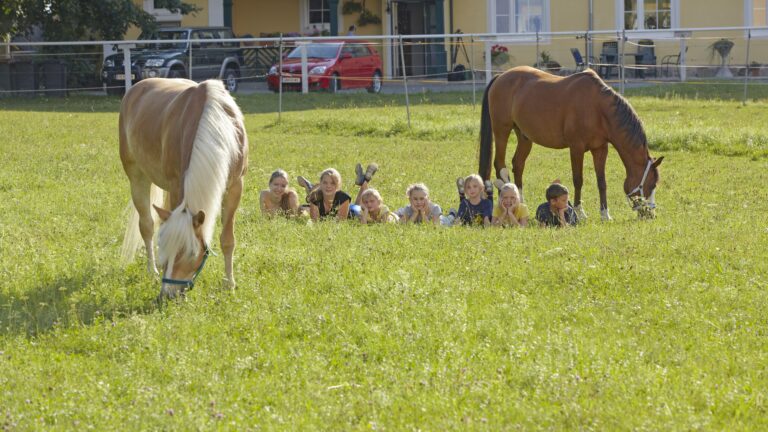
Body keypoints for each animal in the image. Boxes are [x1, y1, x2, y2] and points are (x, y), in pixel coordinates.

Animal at [119, 77, 249, 298]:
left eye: (190, 253)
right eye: (165, 247)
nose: (167, 295)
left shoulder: (234, 187)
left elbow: (227, 240)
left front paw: (229, 283)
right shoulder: (175, 186)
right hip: (137, 177)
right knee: (146, 225)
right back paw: (151, 270)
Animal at [476, 66, 664, 219]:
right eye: (651, 184)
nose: (651, 214)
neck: (597, 108)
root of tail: (500, 76)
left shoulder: (600, 149)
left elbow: (602, 182)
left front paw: (605, 214)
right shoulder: (576, 148)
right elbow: (578, 180)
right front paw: (580, 212)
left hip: (524, 137)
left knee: (518, 165)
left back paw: (521, 202)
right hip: (502, 131)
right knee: (500, 166)